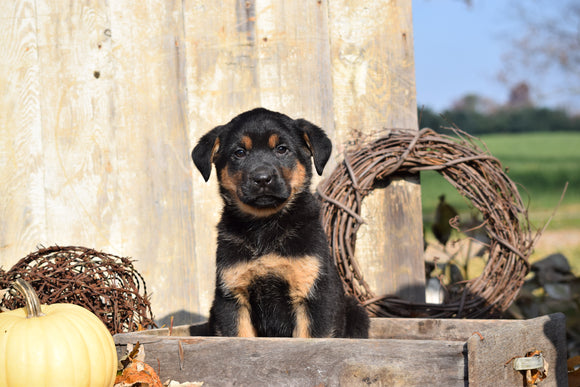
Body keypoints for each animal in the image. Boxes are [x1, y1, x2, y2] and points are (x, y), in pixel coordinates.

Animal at [193, 107, 370, 338]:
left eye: (281, 149)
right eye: (239, 152)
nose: (262, 178)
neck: (264, 224)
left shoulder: (314, 293)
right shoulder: (231, 296)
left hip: (356, 310)